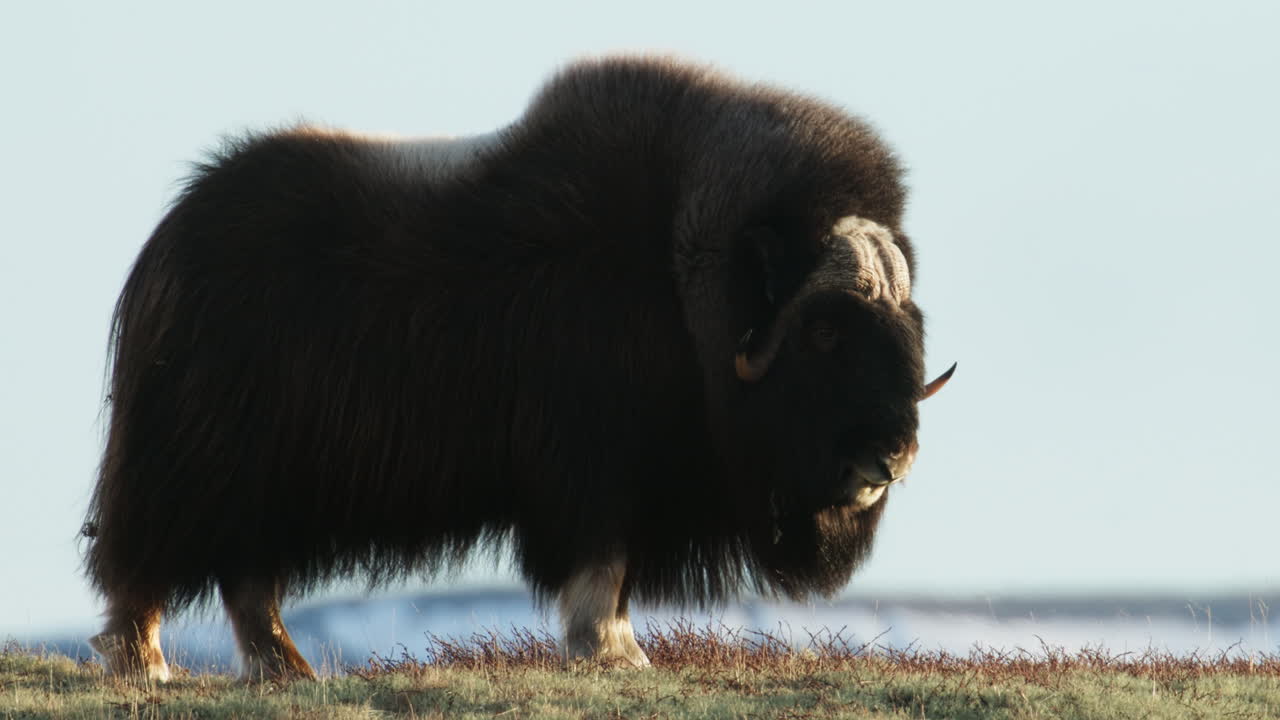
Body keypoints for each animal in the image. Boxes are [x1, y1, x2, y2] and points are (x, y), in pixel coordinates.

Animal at [83, 56, 954, 682]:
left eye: (910, 325)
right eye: (824, 332)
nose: (894, 455)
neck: (683, 285)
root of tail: (171, 238)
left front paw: (620, 648)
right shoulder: (596, 466)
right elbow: (602, 560)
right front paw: (611, 652)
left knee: (245, 573)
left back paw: (286, 669)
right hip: (201, 459)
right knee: (152, 557)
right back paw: (148, 663)